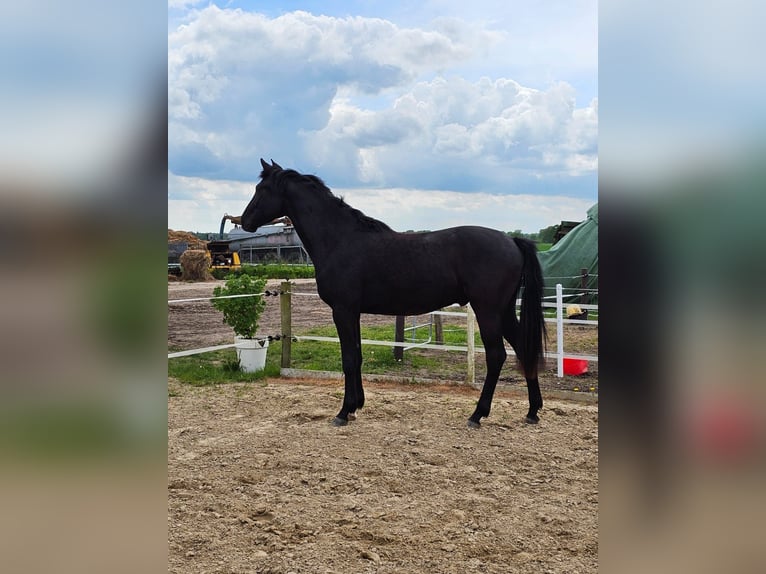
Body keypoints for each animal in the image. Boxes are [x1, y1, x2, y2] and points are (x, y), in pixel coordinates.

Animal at [240, 160, 544, 430]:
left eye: (261, 189)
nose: (245, 221)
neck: (340, 239)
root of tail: (511, 240)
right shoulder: (353, 312)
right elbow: (357, 355)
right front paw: (356, 406)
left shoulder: (342, 310)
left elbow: (348, 358)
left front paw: (343, 412)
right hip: (504, 311)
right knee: (522, 347)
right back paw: (532, 411)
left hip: (488, 310)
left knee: (496, 356)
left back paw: (477, 414)